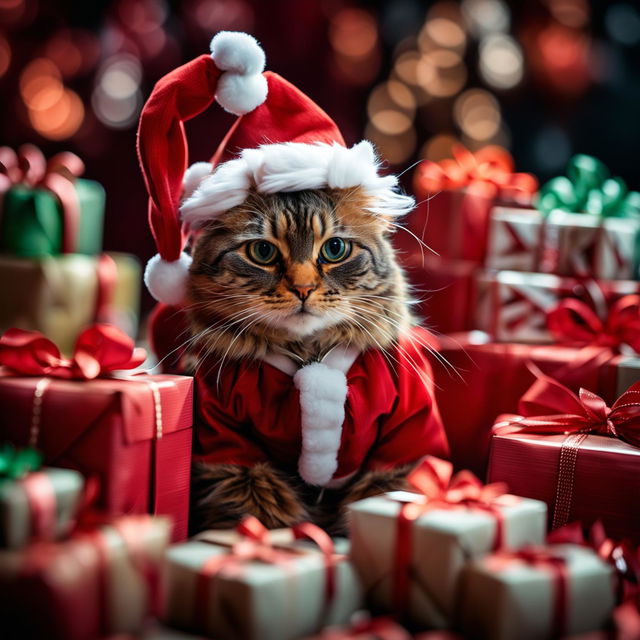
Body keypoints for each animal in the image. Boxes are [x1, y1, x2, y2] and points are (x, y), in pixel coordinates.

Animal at [182, 184, 448, 536]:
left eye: (335, 249)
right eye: (262, 252)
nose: (303, 288)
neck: (309, 356)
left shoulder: (407, 435)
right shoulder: (225, 441)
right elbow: (256, 507)